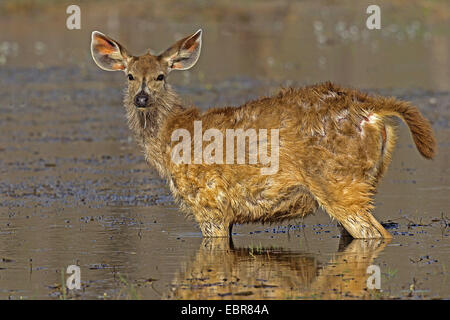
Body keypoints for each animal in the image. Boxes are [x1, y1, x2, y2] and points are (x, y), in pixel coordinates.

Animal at [89, 28, 436, 240]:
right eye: (130, 75)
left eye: (161, 76)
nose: (141, 98)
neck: (171, 138)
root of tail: (374, 109)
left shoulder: (209, 204)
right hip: (364, 181)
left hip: (339, 182)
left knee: (377, 233)